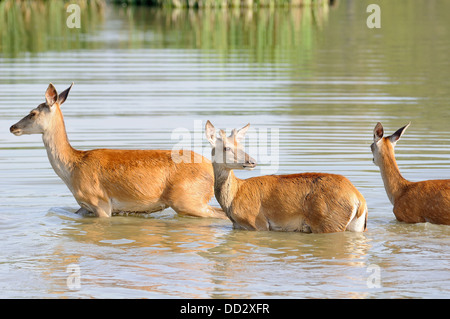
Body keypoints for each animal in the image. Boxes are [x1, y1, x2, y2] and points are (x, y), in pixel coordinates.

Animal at [10, 82, 227, 220]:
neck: (72, 169)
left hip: (187, 198)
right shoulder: (84, 207)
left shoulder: (100, 202)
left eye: (32, 113)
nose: (13, 127)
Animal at [206, 121, 368, 234]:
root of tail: (359, 200)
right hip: (357, 226)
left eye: (241, 146)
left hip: (329, 222)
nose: (251, 161)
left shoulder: (257, 222)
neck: (233, 198)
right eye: (226, 147)